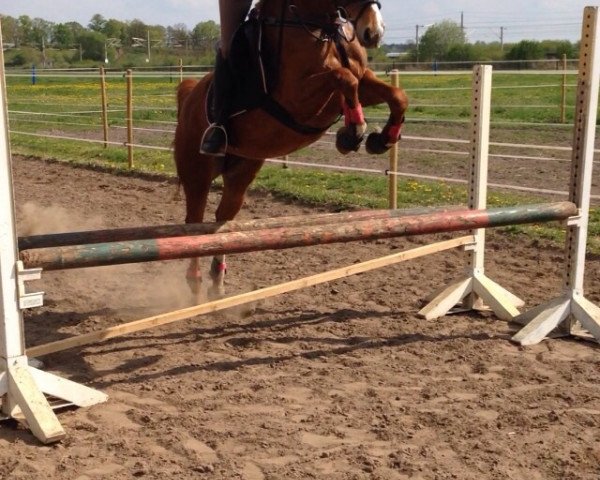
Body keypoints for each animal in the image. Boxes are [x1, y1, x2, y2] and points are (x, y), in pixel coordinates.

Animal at [175, 0, 408, 298]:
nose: (374, 33)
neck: (320, 25)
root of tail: (188, 96)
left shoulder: (361, 79)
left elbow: (394, 95)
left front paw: (381, 139)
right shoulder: (297, 97)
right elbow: (343, 77)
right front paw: (352, 133)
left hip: (242, 169)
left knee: (222, 218)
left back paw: (217, 280)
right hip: (197, 173)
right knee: (194, 221)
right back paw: (194, 280)